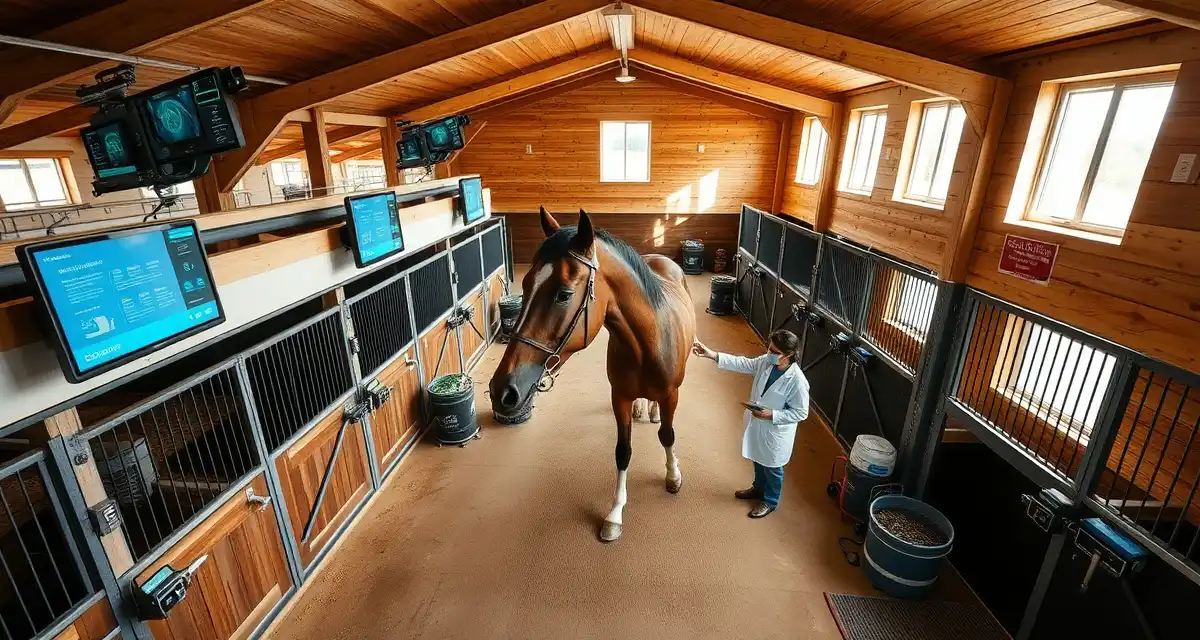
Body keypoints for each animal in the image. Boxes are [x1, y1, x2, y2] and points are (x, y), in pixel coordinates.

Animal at [489, 207, 697, 542]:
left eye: (563, 294)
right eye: (527, 284)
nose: (501, 390)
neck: (647, 342)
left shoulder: (671, 395)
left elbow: (667, 435)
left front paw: (672, 475)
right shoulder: (619, 397)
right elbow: (623, 452)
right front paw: (615, 514)